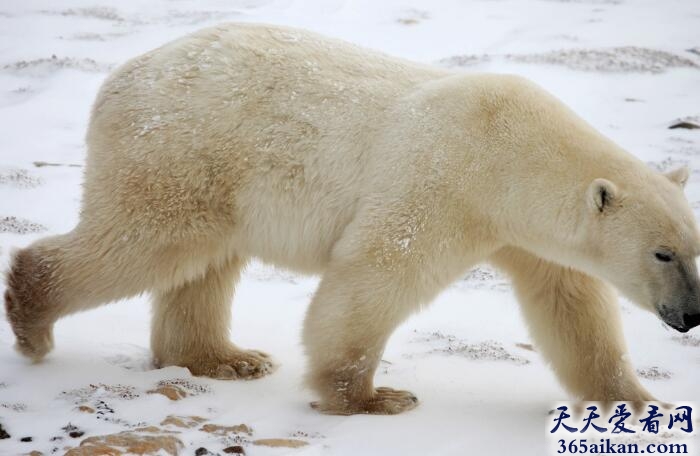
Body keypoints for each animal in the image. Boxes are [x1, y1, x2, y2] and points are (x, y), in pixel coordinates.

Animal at [5, 24, 700, 416]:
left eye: (694, 248)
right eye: (662, 253)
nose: (692, 316)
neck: (510, 150)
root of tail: (118, 78)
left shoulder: (527, 231)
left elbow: (572, 307)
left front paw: (639, 403)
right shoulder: (443, 178)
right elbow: (376, 273)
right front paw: (371, 397)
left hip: (214, 175)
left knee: (204, 264)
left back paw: (227, 359)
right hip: (181, 149)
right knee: (145, 241)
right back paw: (33, 321)